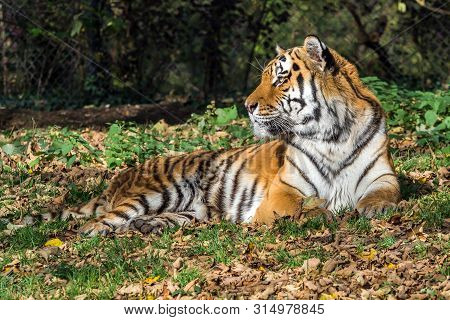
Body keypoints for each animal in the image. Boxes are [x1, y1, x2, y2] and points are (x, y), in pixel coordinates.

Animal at [64, 35, 400, 236]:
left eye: (280, 79)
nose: (247, 106)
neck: (333, 136)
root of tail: (121, 176)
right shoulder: (283, 191)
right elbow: (301, 207)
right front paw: (323, 210)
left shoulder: (383, 176)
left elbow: (384, 193)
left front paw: (374, 207)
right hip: (159, 192)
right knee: (97, 223)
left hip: (193, 210)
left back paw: (147, 225)